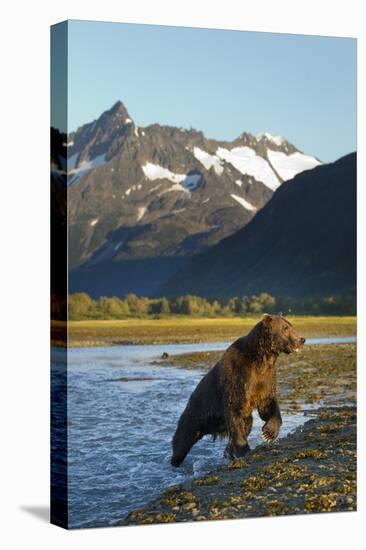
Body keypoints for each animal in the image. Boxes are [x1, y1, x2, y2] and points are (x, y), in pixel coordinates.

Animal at [172, 316, 306, 468]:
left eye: (290, 325)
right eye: (285, 328)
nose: (302, 339)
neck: (263, 359)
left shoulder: (265, 379)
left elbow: (268, 405)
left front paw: (269, 432)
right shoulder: (239, 378)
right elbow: (235, 412)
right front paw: (244, 450)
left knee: (247, 423)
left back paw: (228, 451)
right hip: (193, 418)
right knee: (181, 442)